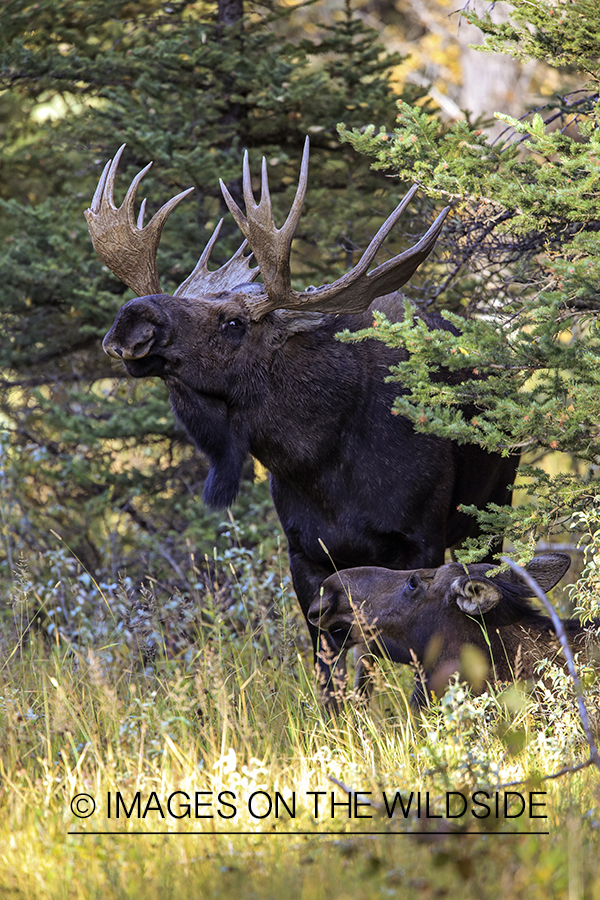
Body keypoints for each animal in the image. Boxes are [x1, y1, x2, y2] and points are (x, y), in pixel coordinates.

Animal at [85, 142, 520, 704]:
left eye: (234, 323)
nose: (132, 318)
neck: (322, 464)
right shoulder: (305, 556)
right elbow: (327, 669)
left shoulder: (417, 541)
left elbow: (381, 655)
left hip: (494, 512)